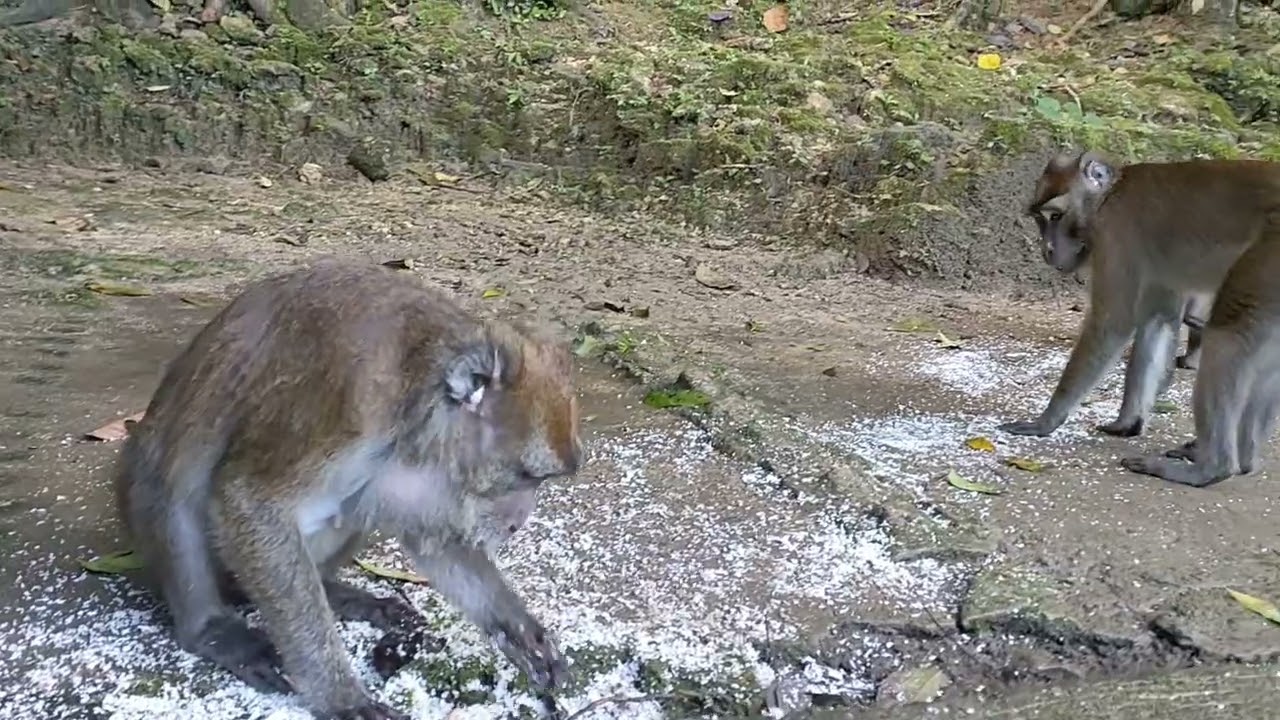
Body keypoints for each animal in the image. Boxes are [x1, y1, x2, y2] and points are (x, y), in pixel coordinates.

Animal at [113, 259, 583, 719]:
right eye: (527, 477)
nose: (518, 522)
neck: (416, 396)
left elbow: (429, 537)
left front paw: (519, 629)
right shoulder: (347, 408)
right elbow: (247, 500)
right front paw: (340, 697)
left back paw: (334, 590)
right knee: (173, 493)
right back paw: (211, 628)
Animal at [999, 151, 1280, 446]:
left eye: (1056, 216)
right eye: (1039, 220)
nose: (1047, 250)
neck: (1107, 197)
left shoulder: (1115, 232)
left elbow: (1114, 321)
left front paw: (1045, 422)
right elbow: (1159, 318)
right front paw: (1128, 422)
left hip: (1267, 257)